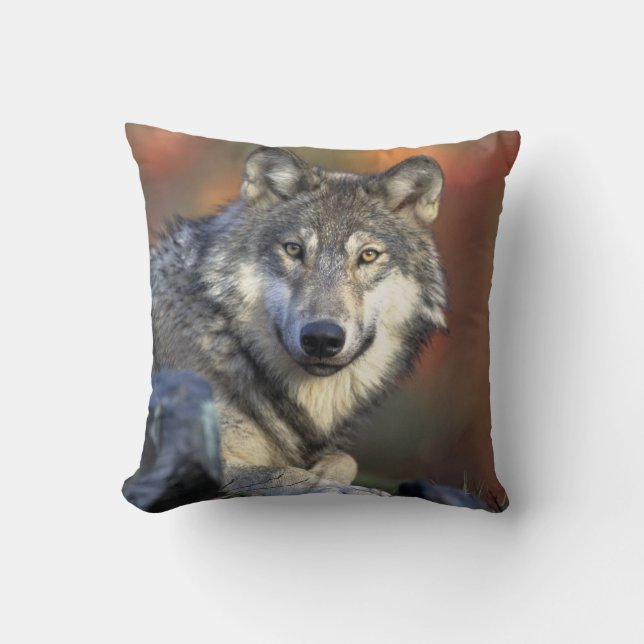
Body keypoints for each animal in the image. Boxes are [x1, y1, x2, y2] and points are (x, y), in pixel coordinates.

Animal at [127, 146, 447, 510]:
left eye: (368, 255)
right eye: (294, 249)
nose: (321, 338)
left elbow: (345, 460)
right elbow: (287, 476)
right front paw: (345, 489)